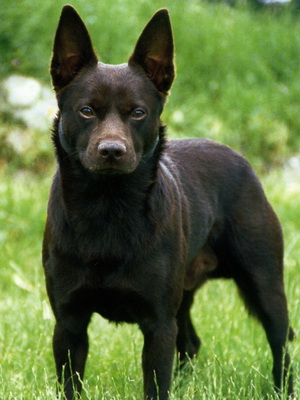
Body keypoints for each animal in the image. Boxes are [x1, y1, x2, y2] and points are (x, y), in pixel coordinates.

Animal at [43, 6, 294, 400]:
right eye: (86, 111)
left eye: (138, 113)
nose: (112, 150)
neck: (108, 208)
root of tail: (242, 160)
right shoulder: (69, 325)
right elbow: (72, 384)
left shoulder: (159, 326)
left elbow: (156, 384)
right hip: (185, 299)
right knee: (190, 344)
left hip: (264, 282)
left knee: (281, 346)